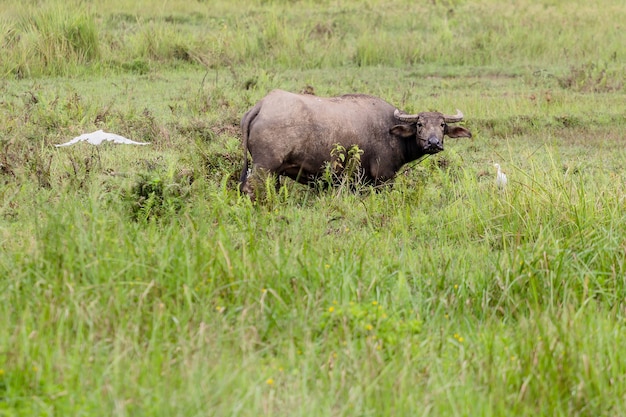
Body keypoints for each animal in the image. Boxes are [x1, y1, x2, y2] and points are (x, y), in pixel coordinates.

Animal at [239, 88, 468, 196]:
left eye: (442, 125)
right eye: (420, 124)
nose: (433, 143)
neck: (391, 129)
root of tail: (262, 105)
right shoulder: (383, 178)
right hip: (264, 167)